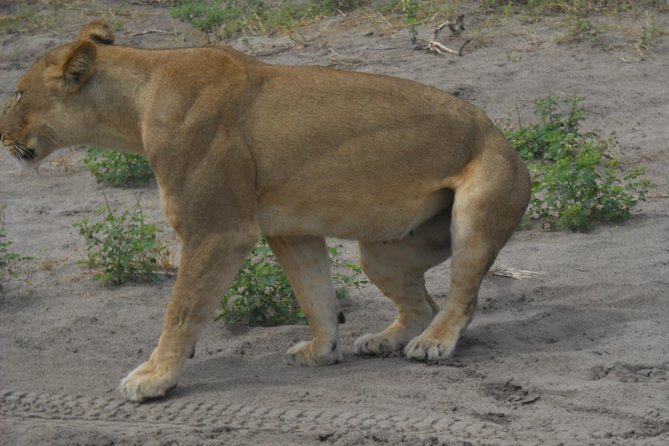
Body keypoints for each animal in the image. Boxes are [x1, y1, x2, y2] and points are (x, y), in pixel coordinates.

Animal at [0, 21, 530, 402]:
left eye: (19, 93)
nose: (3, 137)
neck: (137, 102)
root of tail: (508, 143)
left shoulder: (217, 230)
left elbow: (181, 310)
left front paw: (155, 377)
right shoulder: (290, 231)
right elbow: (315, 295)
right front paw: (322, 352)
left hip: (478, 208)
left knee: (462, 298)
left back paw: (433, 344)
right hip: (380, 253)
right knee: (422, 303)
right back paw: (386, 339)